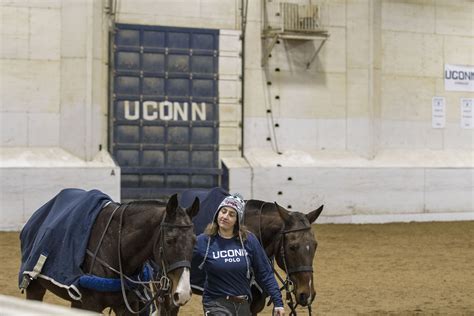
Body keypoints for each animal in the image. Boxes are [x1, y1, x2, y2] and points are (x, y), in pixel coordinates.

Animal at [21, 191, 200, 314]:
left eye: (194, 241)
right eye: (170, 240)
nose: (183, 293)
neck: (115, 249)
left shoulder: (126, 306)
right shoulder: (91, 305)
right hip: (34, 287)